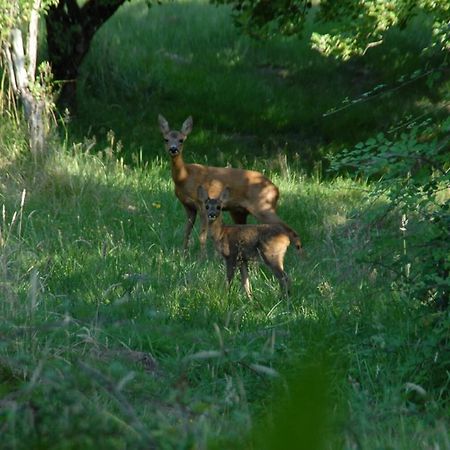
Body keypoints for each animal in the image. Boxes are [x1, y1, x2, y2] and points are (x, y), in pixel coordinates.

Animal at [158, 114, 302, 253]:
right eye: (166, 139)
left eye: (181, 140)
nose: (173, 149)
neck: (185, 177)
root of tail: (276, 189)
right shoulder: (188, 207)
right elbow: (186, 233)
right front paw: (183, 255)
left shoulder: (202, 204)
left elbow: (202, 235)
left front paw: (202, 257)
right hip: (239, 212)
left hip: (263, 206)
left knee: (290, 230)